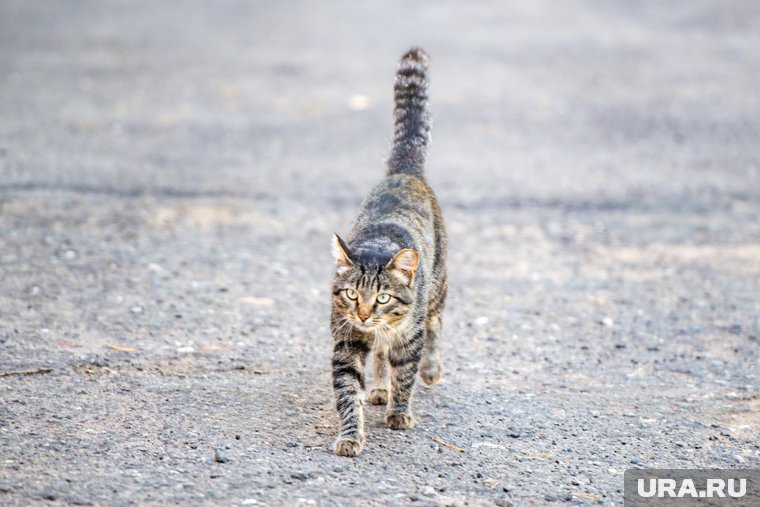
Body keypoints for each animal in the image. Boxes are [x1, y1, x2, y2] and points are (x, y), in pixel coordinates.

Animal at [330, 47, 448, 458]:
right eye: (352, 294)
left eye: (383, 297)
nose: (365, 314)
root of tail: (404, 171)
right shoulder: (346, 341)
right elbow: (349, 393)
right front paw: (351, 435)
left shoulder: (408, 338)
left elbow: (406, 375)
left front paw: (400, 412)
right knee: (380, 356)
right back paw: (380, 386)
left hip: (437, 287)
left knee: (434, 326)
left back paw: (430, 369)